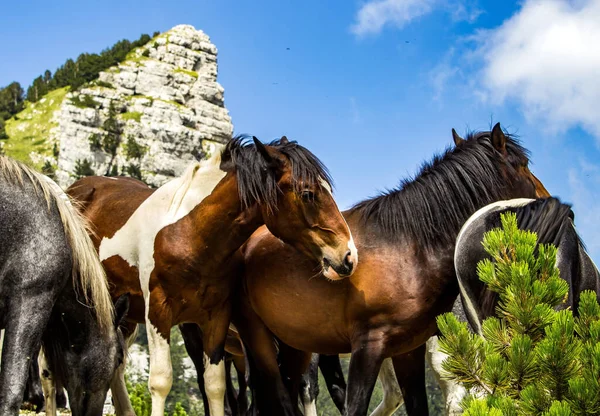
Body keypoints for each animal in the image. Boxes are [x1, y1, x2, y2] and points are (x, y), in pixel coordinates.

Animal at [65, 136, 356, 416]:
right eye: (308, 194)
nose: (348, 255)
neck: (191, 234)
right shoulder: (158, 312)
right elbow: (161, 381)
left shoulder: (216, 316)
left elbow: (215, 386)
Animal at [232, 123, 552, 416]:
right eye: (524, 164)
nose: (545, 195)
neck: (408, 248)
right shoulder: (367, 346)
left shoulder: (408, 350)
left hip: (294, 346)